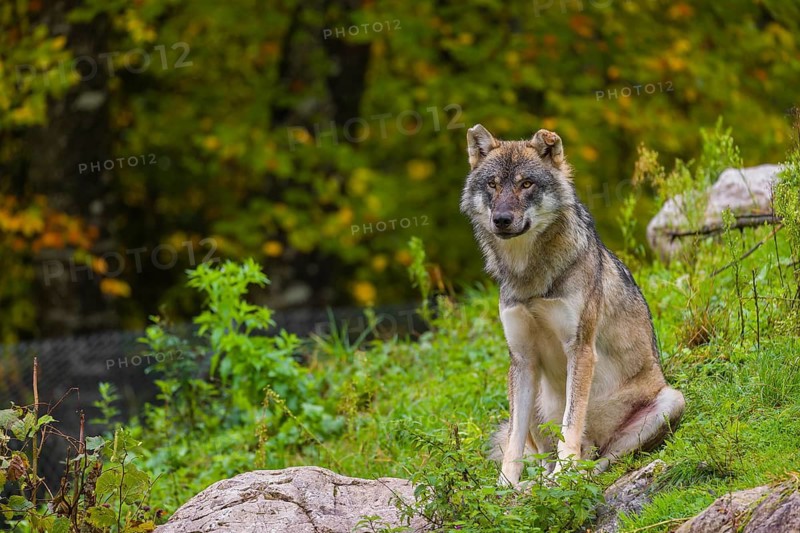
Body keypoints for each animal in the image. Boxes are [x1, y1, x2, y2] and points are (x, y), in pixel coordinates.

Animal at [460, 125, 685, 487]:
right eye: (493, 184)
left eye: (526, 184)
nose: (502, 219)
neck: (530, 276)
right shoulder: (522, 359)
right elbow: (514, 444)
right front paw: (506, 487)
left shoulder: (580, 350)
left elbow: (571, 424)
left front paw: (565, 475)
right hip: (531, 393)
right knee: (544, 453)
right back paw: (537, 482)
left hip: (670, 401)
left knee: (603, 458)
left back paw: (572, 475)